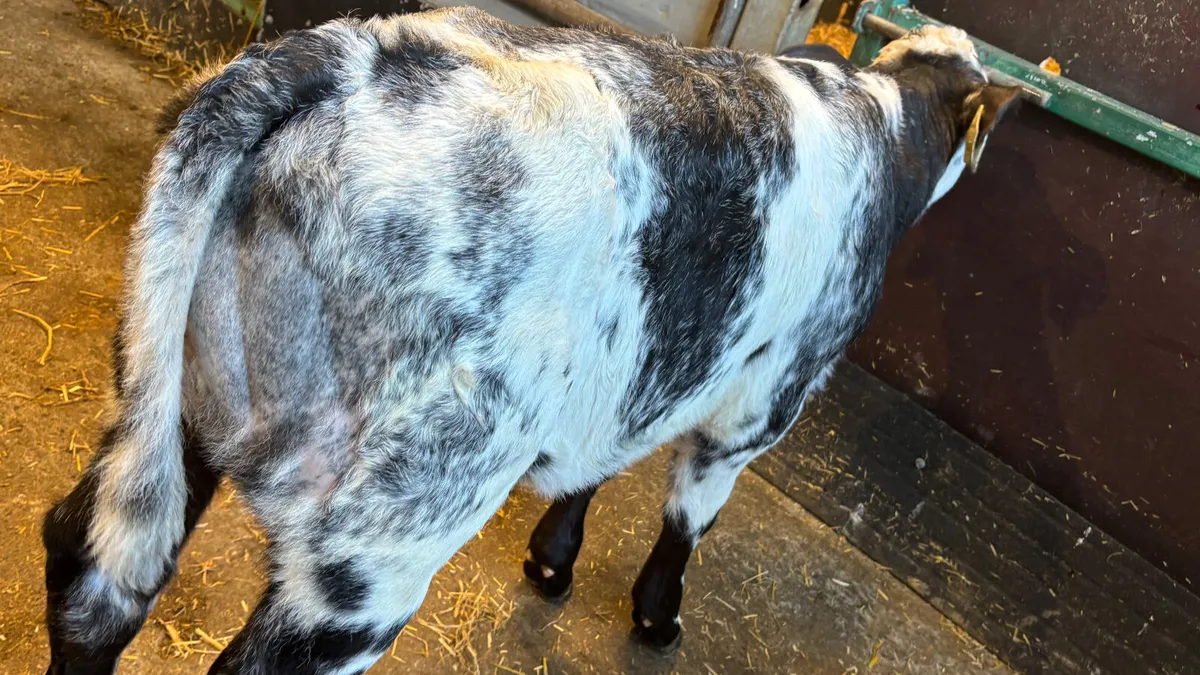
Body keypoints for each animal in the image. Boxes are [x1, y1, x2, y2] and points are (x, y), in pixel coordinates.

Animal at [41, 8, 1017, 674]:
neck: (881, 120)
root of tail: (349, 58)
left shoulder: (634, 369)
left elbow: (597, 462)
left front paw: (553, 558)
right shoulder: (759, 404)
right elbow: (687, 516)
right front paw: (656, 617)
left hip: (176, 397)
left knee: (92, 572)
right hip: (387, 533)